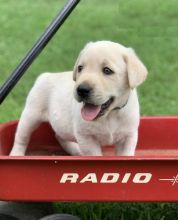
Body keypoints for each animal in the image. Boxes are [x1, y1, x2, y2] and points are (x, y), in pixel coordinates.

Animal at [10, 40, 148, 156]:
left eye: (107, 70)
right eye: (80, 68)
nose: (82, 90)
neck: (110, 115)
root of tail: (46, 75)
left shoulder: (128, 137)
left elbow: (126, 154)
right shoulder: (86, 138)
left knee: (59, 135)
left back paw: (75, 150)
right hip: (30, 115)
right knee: (21, 137)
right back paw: (16, 154)